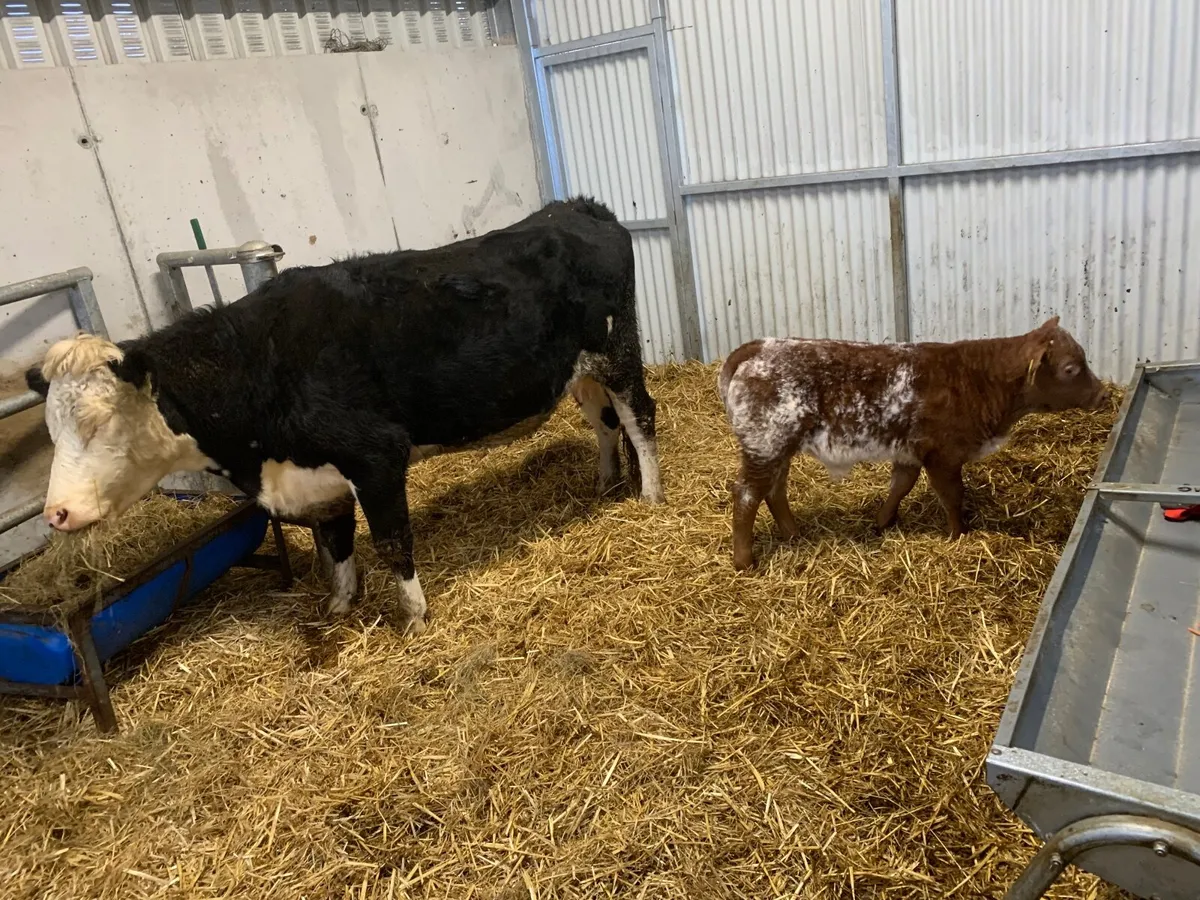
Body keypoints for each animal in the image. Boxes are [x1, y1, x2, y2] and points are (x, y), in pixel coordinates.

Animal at [24, 197, 664, 635]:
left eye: (97, 423)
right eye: (52, 429)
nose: (56, 513)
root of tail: (576, 206)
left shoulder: (375, 456)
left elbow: (391, 542)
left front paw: (414, 617)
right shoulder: (316, 476)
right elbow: (336, 543)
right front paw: (339, 604)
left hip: (618, 349)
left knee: (639, 419)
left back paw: (650, 496)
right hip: (578, 369)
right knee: (603, 423)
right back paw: (605, 482)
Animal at [718, 317, 1107, 570]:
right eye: (1071, 368)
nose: (1102, 394)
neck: (979, 380)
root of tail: (761, 346)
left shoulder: (909, 449)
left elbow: (901, 484)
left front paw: (883, 521)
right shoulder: (943, 454)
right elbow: (952, 496)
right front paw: (958, 535)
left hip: (778, 446)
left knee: (774, 489)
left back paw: (794, 533)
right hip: (765, 442)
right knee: (747, 493)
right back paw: (744, 560)